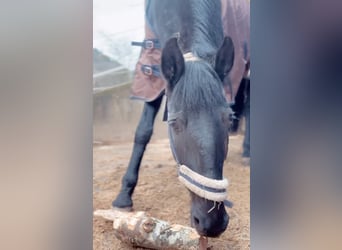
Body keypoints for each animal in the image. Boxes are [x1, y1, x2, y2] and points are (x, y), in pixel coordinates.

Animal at [114, 0, 238, 237]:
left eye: (229, 118)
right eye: (173, 123)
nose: (212, 222)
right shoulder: (152, 67)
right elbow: (143, 132)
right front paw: (123, 195)